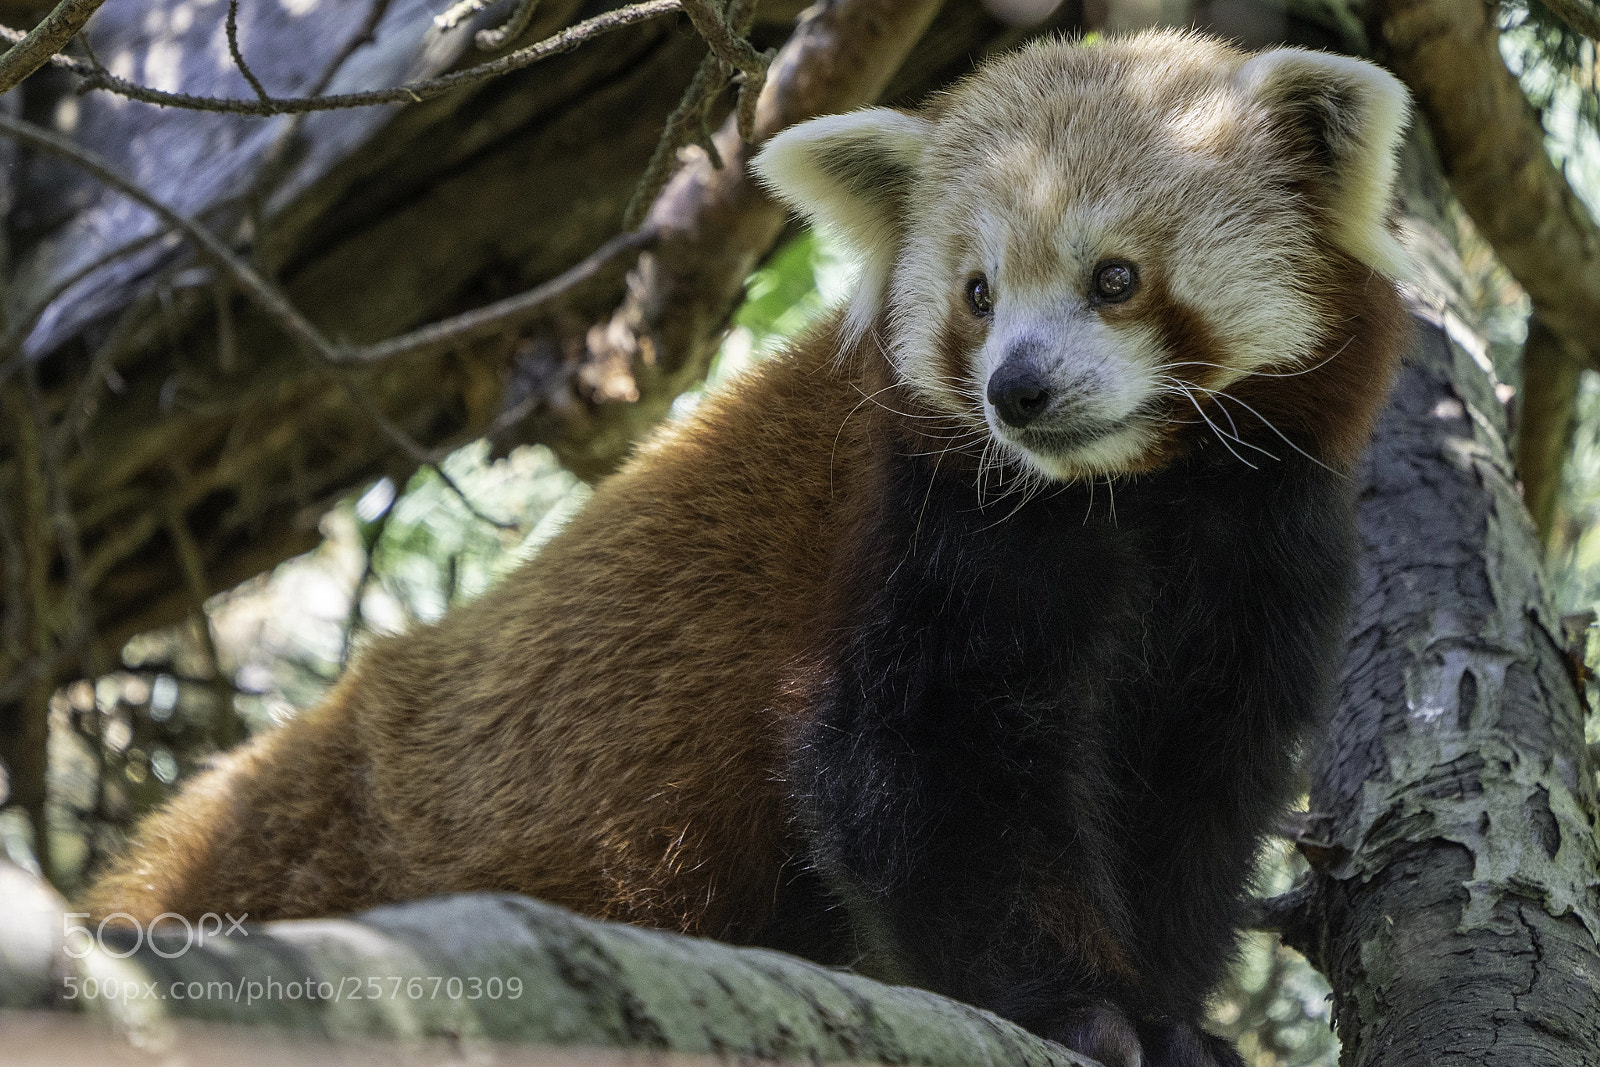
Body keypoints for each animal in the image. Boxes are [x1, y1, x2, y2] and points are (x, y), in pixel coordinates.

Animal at [85, 29, 1410, 1067]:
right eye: (977, 292)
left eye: (1116, 277)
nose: (1017, 390)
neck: (1131, 494)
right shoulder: (924, 522)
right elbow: (915, 768)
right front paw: (1084, 1008)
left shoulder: (1256, 552)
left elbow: (1187, 802)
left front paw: (1175, 1013)